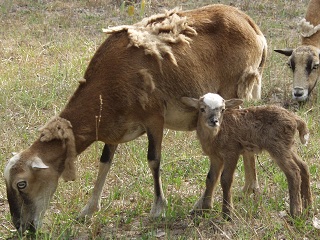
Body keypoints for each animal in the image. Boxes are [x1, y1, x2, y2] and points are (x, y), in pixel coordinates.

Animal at [4, 3, 268, 232]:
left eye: (21, 183)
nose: (23, 228)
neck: (109, 82)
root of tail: (252, 26)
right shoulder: (113, 128)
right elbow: (105, 162)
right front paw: (88, 210)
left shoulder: (154, 118)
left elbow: (153, 160)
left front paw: (158, 209)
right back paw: (247, 189)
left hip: (232, 94)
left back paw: (223, 197)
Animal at [182, 93, 312, 218]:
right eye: (202, 109)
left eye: (223, 109)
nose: (214, 121)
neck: (217, 134)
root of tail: (295, 118)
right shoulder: (215, 157)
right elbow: (210, 178)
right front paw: (205, 209)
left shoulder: (232, 152)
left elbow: (226, 179)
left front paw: (227, 213)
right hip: (288, 146)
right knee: (303, 166)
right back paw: (308, 207)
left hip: (278, 147)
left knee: (293, 172)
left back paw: (296, 212)